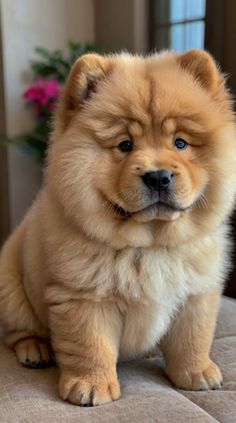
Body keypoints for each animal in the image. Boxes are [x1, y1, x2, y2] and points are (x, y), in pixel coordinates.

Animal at [0, 49, 236, 408]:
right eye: (125, 145)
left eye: (181, 143)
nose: (158, 176)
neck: (150, 245)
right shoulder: (83, 296)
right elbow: (90, 344)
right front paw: (90, 386)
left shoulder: (197, 291)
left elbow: (193, 338)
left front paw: (197, 373)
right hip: (11, 287)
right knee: (17, 330)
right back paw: (34, 349)